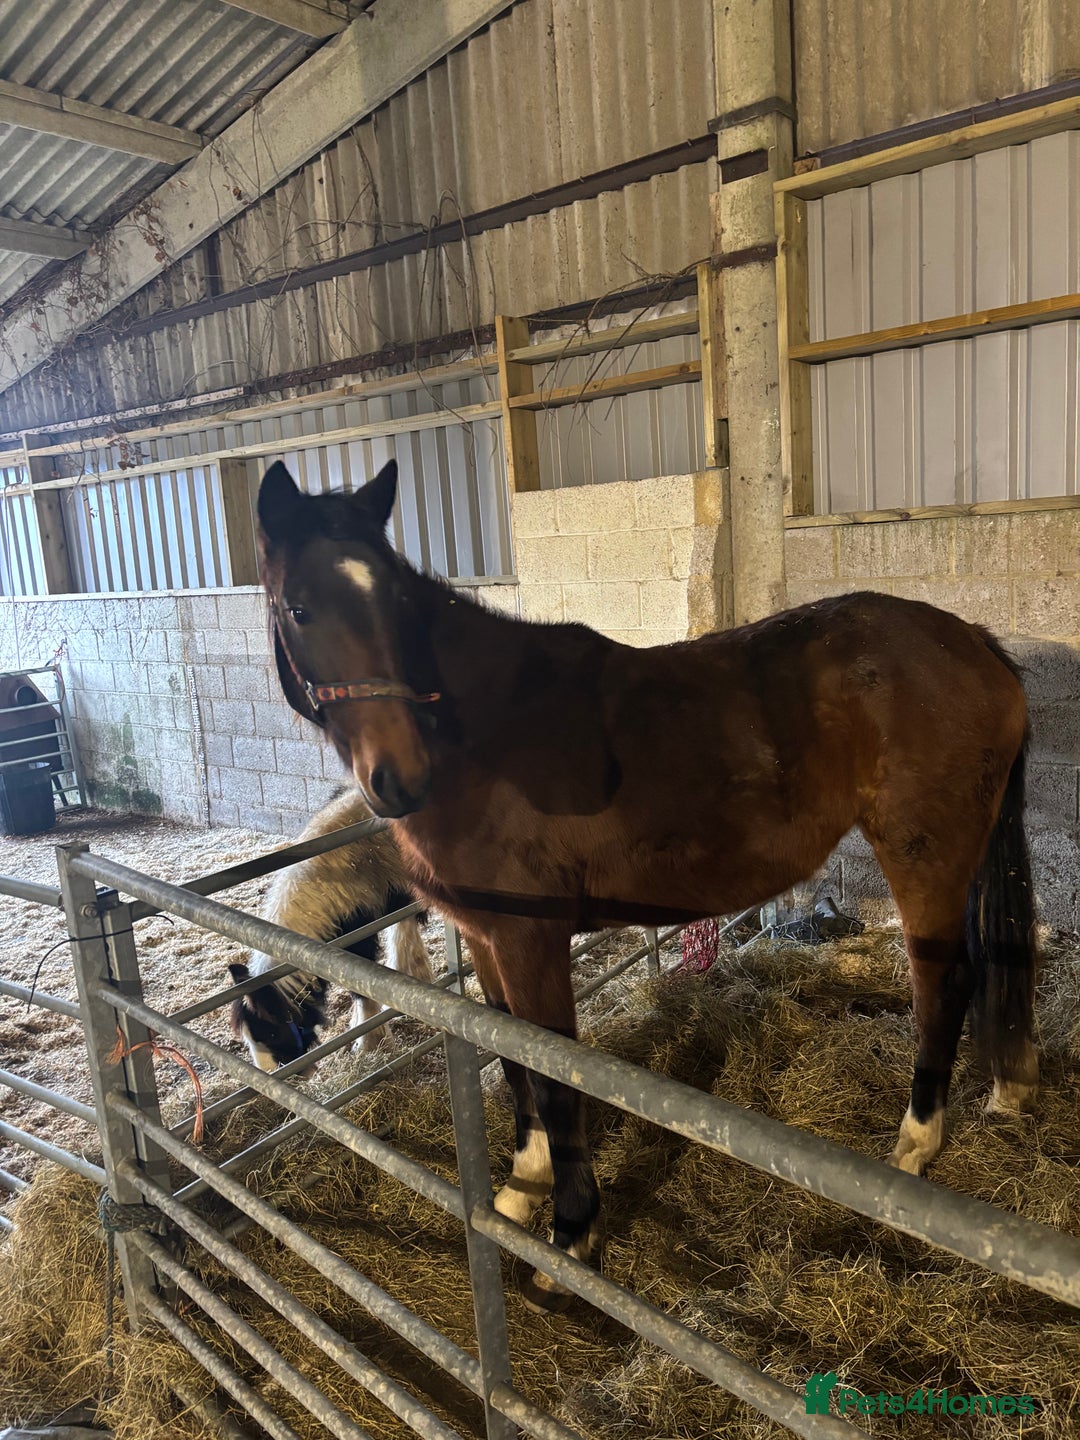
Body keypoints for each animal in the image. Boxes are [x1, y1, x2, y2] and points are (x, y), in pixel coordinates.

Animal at [228, 786, 433, 1071]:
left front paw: (370, 1043)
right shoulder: (394, 900)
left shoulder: (361, 937)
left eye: (271, 1032)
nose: (271, 1073)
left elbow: (363, 990)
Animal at [255, 456, 1038, 1311]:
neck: (484, 738)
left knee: (943, 985)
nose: (398, 778)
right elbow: (516, 1065)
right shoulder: (487, 940)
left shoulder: (531, 941)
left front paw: (569, 1239)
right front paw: (521, 1190)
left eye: (396, 605)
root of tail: (974, 643)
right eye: (299, 608)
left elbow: (556, 1076)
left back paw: (913, 1149)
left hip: (923, 855)